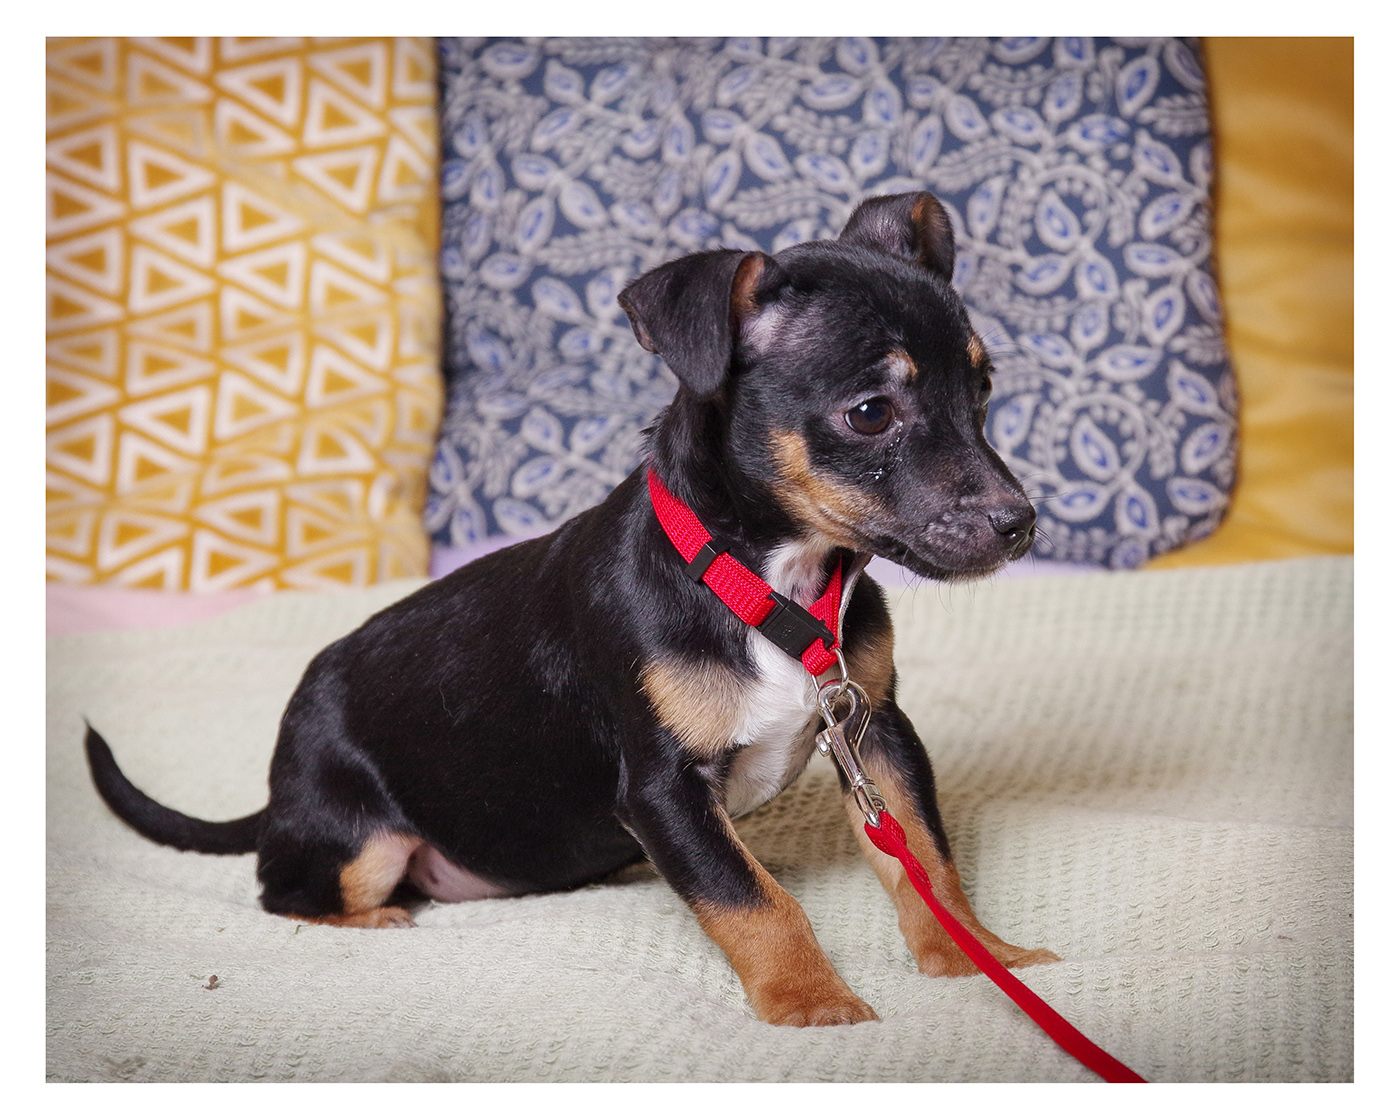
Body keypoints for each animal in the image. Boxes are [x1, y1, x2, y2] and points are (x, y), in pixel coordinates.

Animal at [86, 191, 1059, 1027]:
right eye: (869, 414)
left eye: (982, 390)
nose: (1020, 524)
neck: (768, 589)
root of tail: (279, 784)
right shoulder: (662, 789)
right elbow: (751, 900)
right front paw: (811, 1002)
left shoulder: (875, 729)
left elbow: (926, 857)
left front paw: (976, 956)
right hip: (361, 843)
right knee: (285, 890)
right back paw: (372, 920)